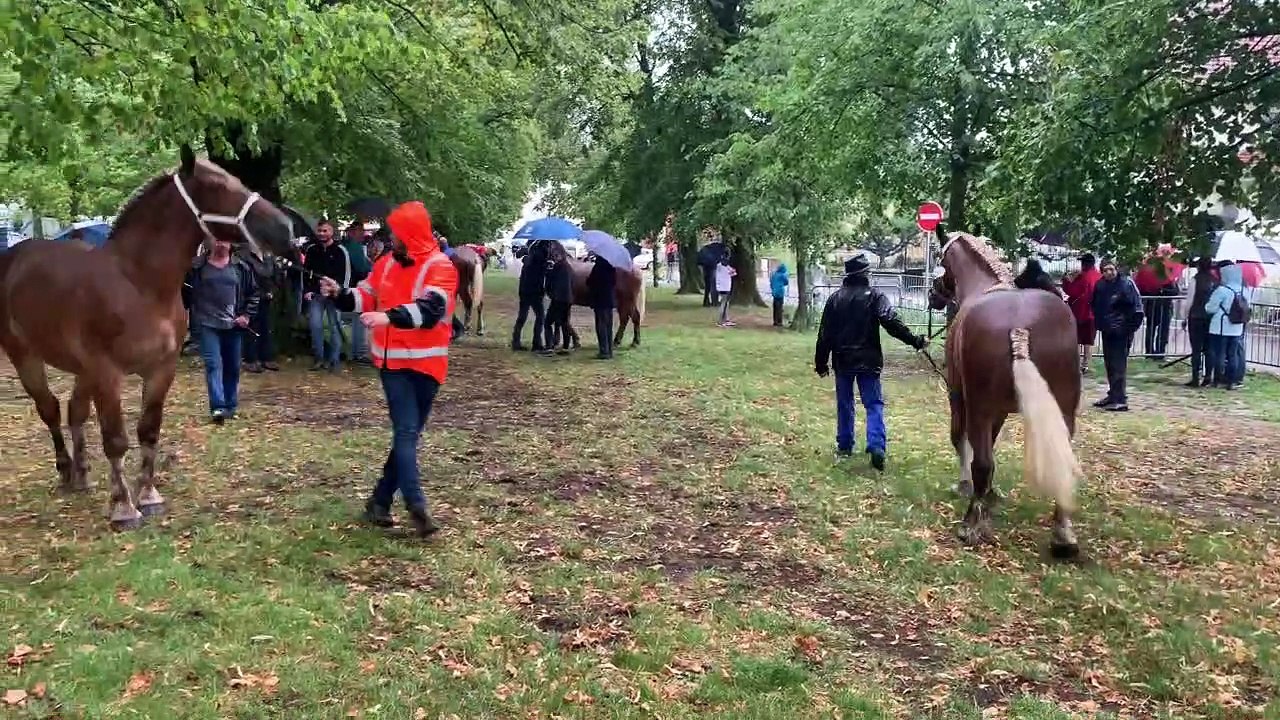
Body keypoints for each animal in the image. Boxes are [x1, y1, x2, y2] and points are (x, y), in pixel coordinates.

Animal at [0, 146, 295, 530]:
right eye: (218, 187)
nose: (285, 229)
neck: (139, 284)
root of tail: (13, 258)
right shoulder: (107, 372)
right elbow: (115, 439)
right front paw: (124, 508)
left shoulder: (160, 370)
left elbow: (148, 430)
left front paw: (149, 497)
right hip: (26, 357)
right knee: (49, 410)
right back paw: (65, 472)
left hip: (82, 370)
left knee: (75, 412)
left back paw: (81, 475)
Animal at [927, 233, 1083, 558]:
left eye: (941, 260)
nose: (933, 294)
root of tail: (1020, 328)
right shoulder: (998, 411)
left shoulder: (960, 398)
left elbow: (963, 442)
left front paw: (967, 487)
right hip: (1064, 410)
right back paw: (1063, 535)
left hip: (978, 407)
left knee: (981, 462)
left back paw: (970, 524)